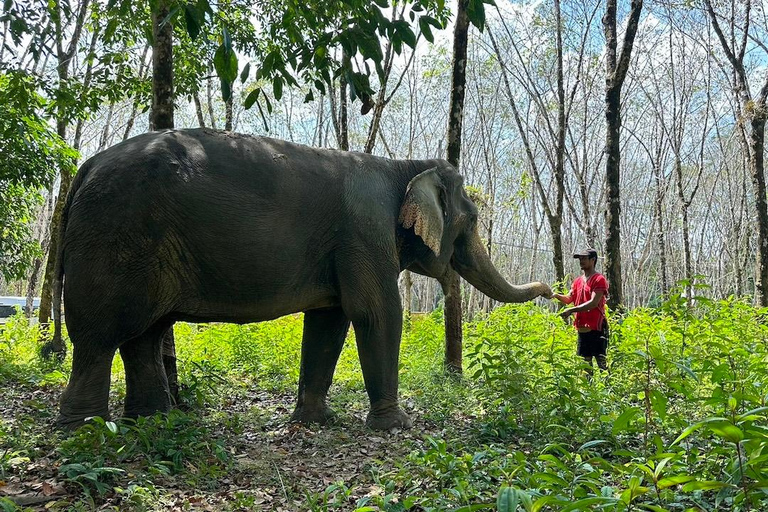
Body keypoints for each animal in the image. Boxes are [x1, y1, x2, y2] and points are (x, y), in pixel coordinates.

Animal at [55, 127, 552, 428]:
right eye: (472, 220)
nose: (552, 290)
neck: (402, 165)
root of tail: (85, 166)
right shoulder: (364, 228)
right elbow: (376, 314)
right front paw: (395, 426)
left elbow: (329, 322)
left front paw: (314, 422)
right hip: (113, 237)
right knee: (99, 336)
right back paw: (85, 430)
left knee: (144, 336)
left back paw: (154, 421)